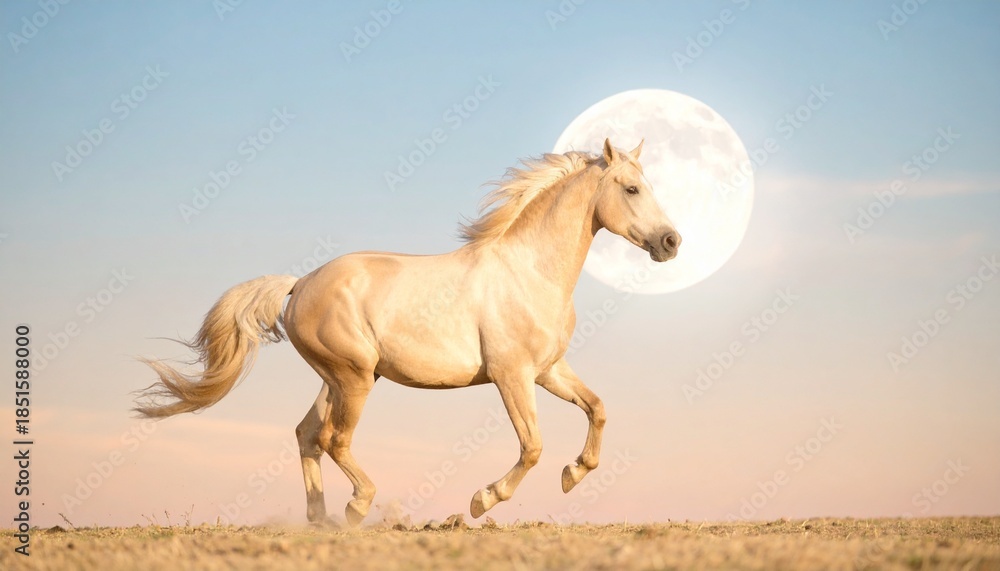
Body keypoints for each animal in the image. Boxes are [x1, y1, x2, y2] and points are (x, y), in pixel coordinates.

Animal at [135, 138, 681, 525]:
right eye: (632, 189)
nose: (671, 242)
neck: (529, 271)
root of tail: (300, 284)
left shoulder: (548, 370)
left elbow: (598, 408)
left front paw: (574, 473)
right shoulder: (512, 375)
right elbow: (532, 446)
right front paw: (483, 500)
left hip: (341, 379)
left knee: (308, 434)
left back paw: (320, 520)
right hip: (354, 377)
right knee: (334, 439)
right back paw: (356, 508)